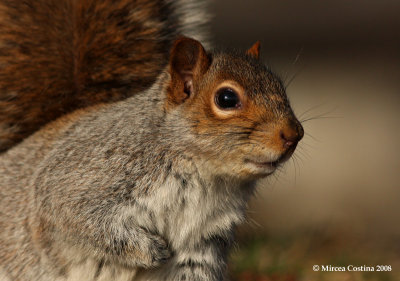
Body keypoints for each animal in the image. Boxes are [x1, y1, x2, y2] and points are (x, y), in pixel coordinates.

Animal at [0, 0, 304, 280]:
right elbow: (81, 219)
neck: (204, 175)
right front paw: (150, 250)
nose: (294, 135)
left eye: (279, 85)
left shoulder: (203, 244)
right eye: (227, 98)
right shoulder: (79, 180)